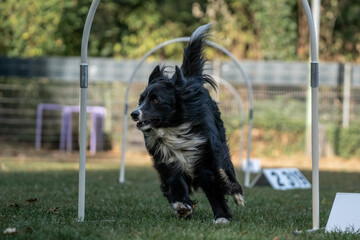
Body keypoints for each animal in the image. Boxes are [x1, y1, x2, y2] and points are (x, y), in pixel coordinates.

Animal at [130, 23, 245, 224]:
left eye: (156, 100)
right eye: (141, 100)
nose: (134, 114)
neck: (173, 128)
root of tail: (189, 80)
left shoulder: (204, 156)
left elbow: (214, 185)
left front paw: (221, 216)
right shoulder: (167, 161)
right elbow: (175, 183)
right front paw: (182, 206)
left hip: (219, 143)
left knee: (227, 168)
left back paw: (237, 194)